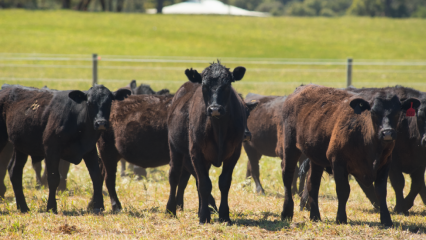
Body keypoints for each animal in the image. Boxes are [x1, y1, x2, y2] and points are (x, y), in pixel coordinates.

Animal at [0, 84, 130, 212]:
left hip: (20, 147)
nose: (101, 123)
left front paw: (97, 206)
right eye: (89, 103)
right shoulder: (52, 150)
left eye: (109, 102)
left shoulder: (90, 150)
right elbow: (53, 178)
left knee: (14, 171)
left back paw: (23, 207)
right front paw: (51, 207)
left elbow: (96, 176)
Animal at [165, 62, 248, 225]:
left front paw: (224, 215)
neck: (218, 129)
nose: (215, 109)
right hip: (175, 148)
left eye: (227, 84)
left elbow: (224, 182)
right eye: (204, 85)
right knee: (174, 176)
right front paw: (204, 216)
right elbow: (204, 184)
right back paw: (170, 210)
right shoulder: (196, 152)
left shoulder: (234, 153)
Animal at [280, 84, 420, 227]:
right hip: (290, 145)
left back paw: (315, 216)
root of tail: (302, 88)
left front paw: (386, 219)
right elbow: (343, 190)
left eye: (397, 112)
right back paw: (286, 212)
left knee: (313, 183)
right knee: (287, 175)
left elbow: (381, 191)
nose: (387, 133)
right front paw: (341, 218)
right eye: (373, 112)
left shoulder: (385, 163)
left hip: (316, 157)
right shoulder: (338, 161)